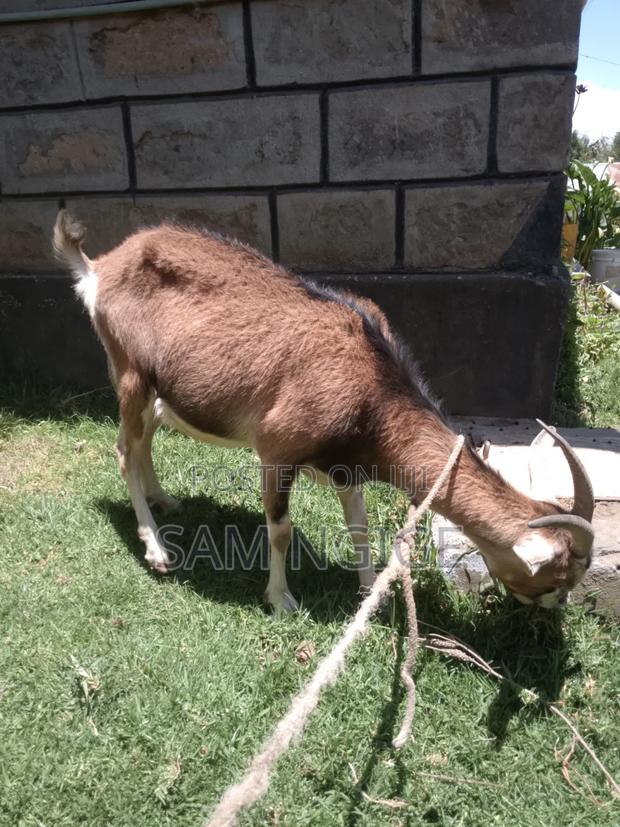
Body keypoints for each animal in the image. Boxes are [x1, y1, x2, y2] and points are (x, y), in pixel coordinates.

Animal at [53, 211, 594, 611]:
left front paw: (371, 591)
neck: (372, 386)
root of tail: (99, 269)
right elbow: (280, 529)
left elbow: (359, 525)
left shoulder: (346, 464)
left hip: (157, 388)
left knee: (145, 438)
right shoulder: (276, 450)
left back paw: (165, 500)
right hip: (130, 372)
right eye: (558, 577)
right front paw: (280, 599)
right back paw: (157, 550)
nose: (555, 611)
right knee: (125, 450)